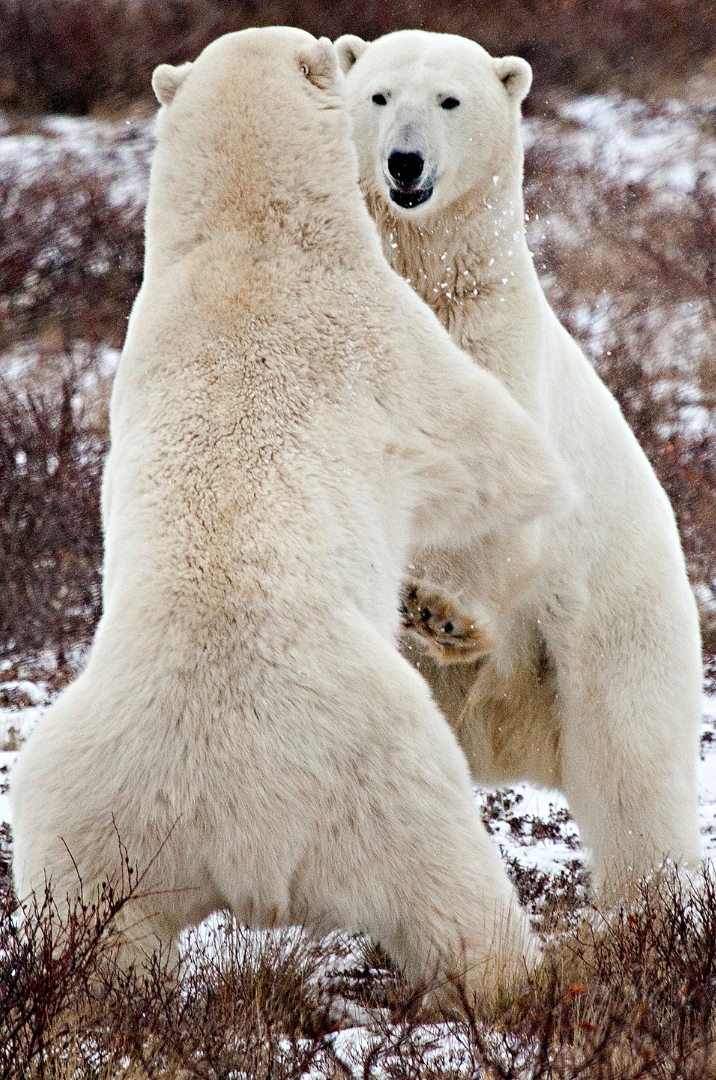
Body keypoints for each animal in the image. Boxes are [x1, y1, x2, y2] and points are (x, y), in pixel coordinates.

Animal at [10, 27, 565, 999]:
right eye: (357, 76)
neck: (248, 241)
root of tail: (242, 833)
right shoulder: (384, 339)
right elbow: (497, 456)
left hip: (89, 810)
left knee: (83, 928)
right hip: (384, 773)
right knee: (454, 892)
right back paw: (521, 978)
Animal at [335, 28, 703, 900]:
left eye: (449, 100)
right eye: (378, 95)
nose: (404, 163)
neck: (429, 287)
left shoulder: (495, 360)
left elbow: (496, 499)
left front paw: (438, 610)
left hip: (614, 630)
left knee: (635, 780)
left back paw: (656, 904)